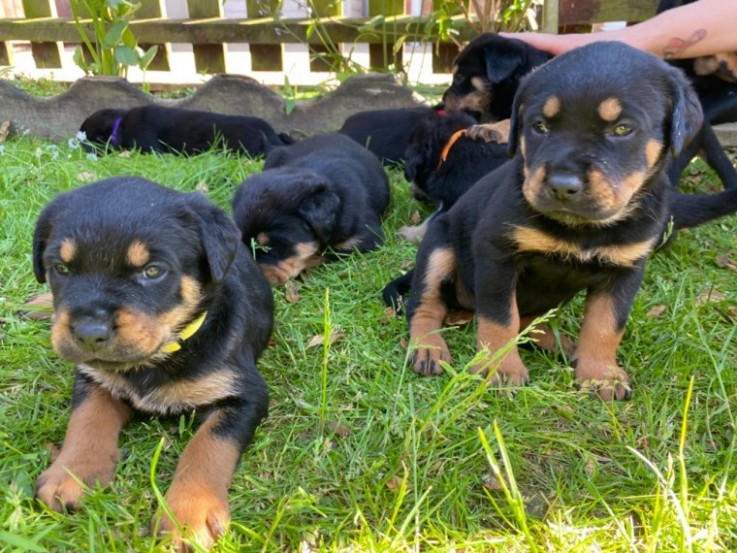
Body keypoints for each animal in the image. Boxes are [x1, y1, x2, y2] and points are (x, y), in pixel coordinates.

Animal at [32, 178, 274, 548]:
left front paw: (187, 516)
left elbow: (208, 446)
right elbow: (87, 419)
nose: (89, 333)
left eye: (153, 271)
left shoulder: (246, 394)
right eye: (60, 268)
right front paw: (70, 474)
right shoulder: (93, 376)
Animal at [406, 41, 736, 398]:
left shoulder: (625, 270)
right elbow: (500, 317)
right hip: (439, 248)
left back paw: (563, 346)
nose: (562, 186)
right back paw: (428, 348)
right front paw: (501, 368)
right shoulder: (497, 255)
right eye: (539, 126)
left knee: (529, 320)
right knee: (426, 305)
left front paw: (601, 374)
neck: (582, 228)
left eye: (622, 129)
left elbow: (606, 324)